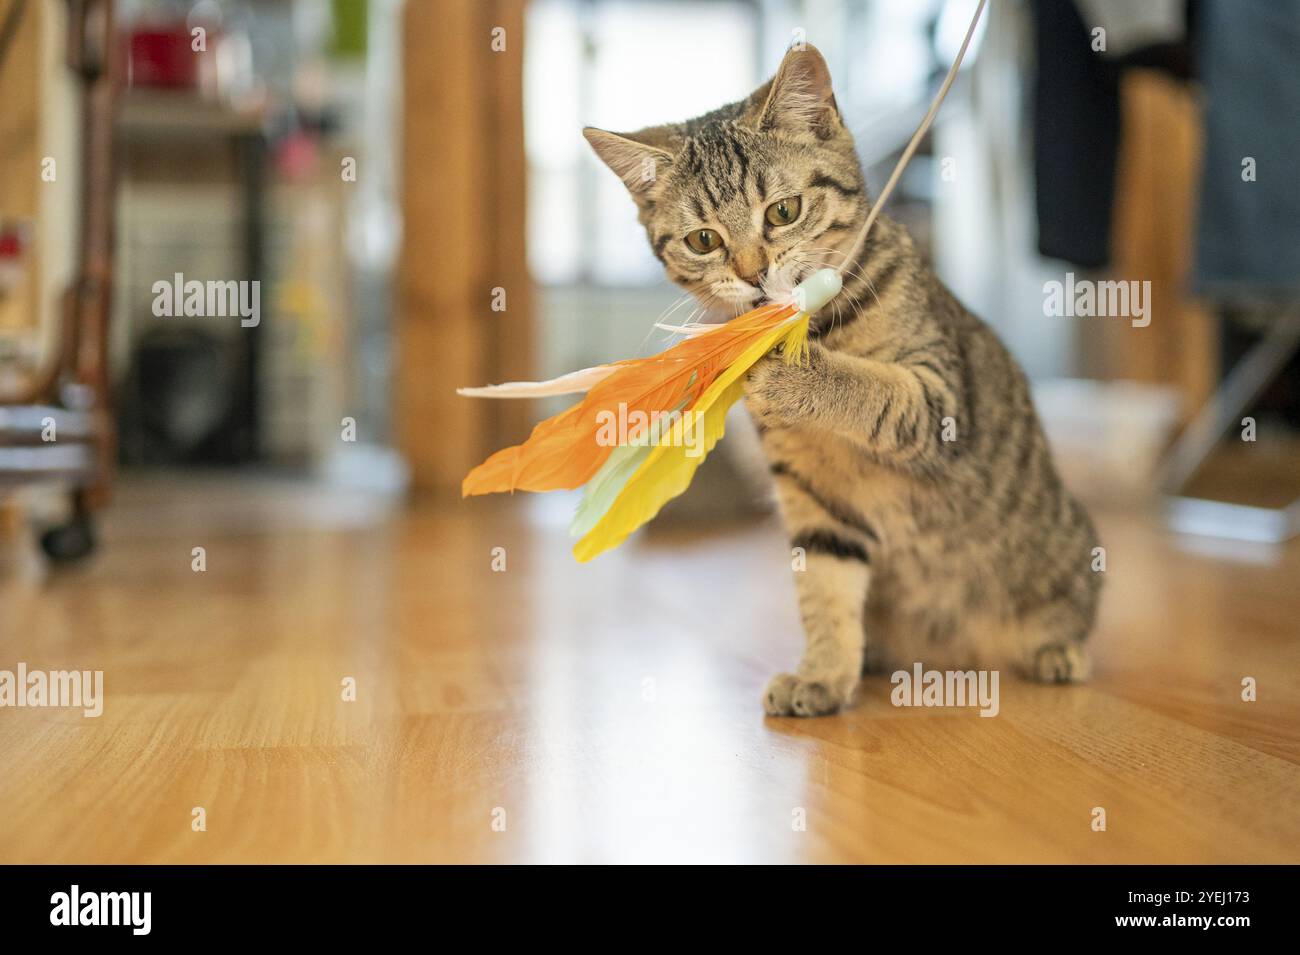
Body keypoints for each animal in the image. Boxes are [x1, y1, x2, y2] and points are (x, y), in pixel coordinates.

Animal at [585, 44, 1102, 717]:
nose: (752, 274)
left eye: (783, 212)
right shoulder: (813, 498)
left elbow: (875, 390)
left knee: (1071, 611)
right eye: (703, 240)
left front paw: (790, 371)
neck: (823, 327)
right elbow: (826, 589)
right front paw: (825, 673)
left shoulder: (940, 398)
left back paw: (1056, 651)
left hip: (1066, 554)